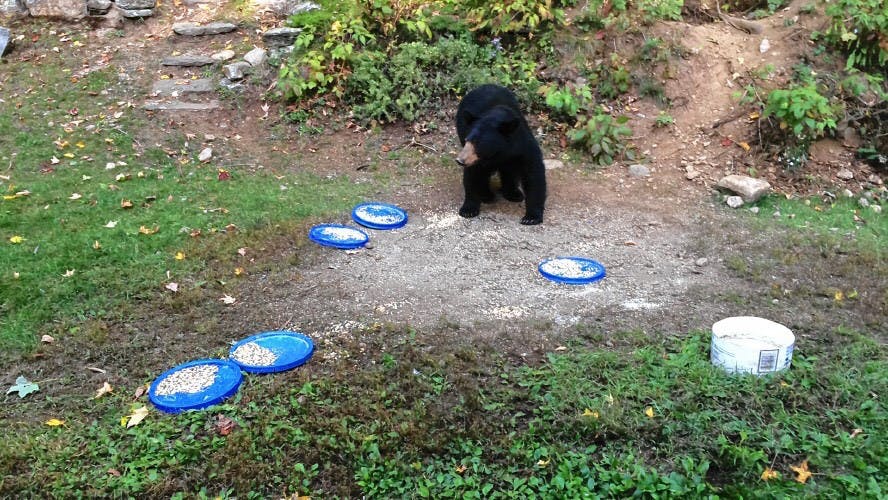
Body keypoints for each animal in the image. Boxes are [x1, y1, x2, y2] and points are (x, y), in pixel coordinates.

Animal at [455, 84, 547, 225]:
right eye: (467, 140)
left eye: (478, 143)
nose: (460, 160)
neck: (500, 151)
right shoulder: (475, 159)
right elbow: (472, 176)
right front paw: (468, 209)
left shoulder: (523, 146)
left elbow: (533, 174)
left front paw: (531, 217)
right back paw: (487, 195)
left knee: (510, 172)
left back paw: (513, 193)